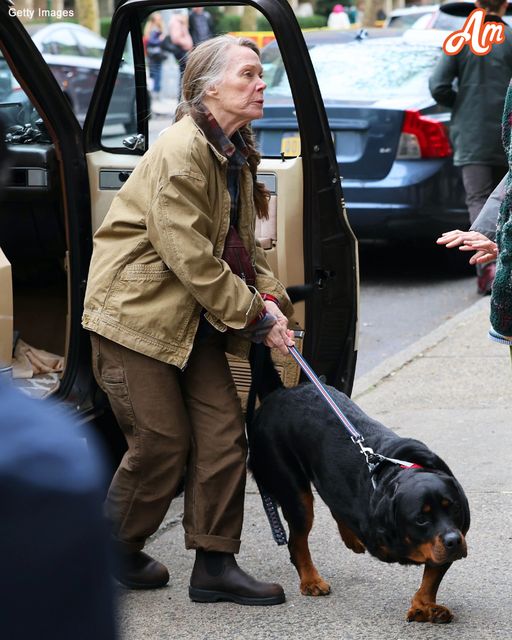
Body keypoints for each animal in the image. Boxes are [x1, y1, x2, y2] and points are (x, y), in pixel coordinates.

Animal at [247, 348, 468, 624]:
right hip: (293, 491)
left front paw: (424, 605)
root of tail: (278, 393)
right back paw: (310, 580)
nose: (453, 541)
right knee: (297, 539)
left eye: (454, 508)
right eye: (420, 519)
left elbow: (431, 577)